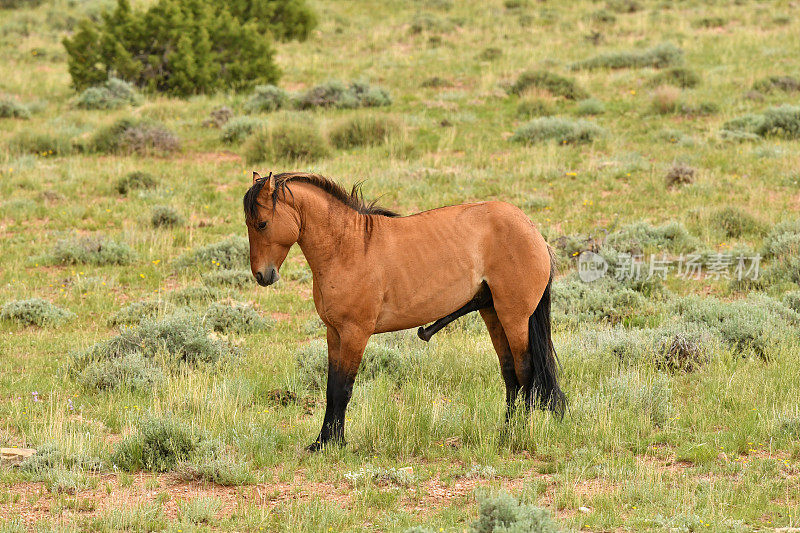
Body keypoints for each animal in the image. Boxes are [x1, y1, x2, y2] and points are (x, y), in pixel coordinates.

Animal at [242, 171, 564, 448]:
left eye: (262, 224)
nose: (262, 275)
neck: (348, 247)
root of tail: (532, 230)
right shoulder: (334, 333)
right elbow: (331, 389)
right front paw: (323, 442)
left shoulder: (355, 334)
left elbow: (343, 389)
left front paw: (335, 444)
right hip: (493, 314)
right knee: (510, 375)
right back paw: (504, 433)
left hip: (514, 318)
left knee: (525, 372)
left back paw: (517, 435)